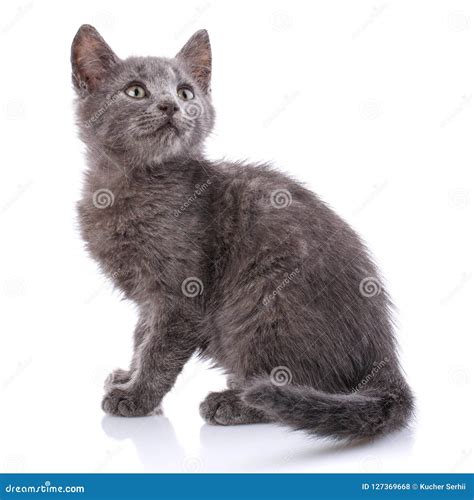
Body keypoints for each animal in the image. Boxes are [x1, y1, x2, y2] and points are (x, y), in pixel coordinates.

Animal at [72, 25, 412, 440]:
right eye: (135, 91)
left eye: (185, 92)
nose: (171, 106)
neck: (129, 183)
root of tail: (386, 357)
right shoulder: (149, 300)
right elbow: (141, 335)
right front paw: (128, 378)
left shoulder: (181, 294)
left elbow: (159, 349)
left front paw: (136, 397)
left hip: (261, 302)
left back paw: (233, 401)